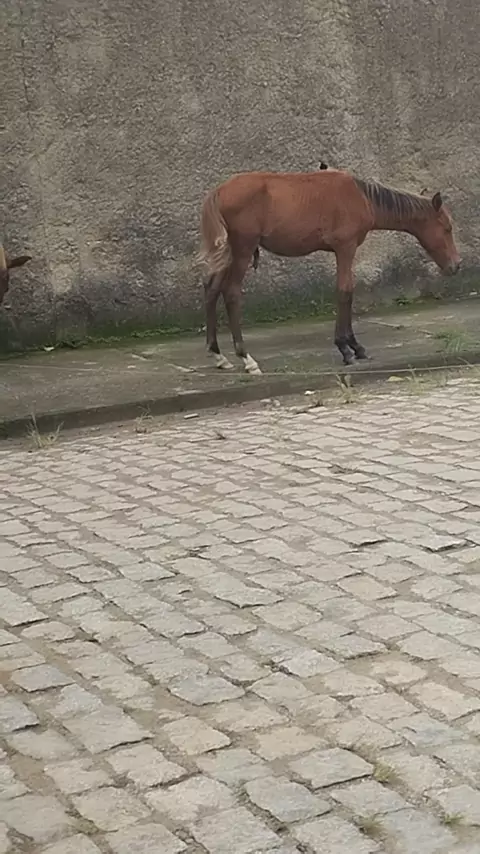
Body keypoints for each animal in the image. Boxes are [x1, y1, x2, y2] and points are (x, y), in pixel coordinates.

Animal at [198, 168, 460, 374]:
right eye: (447, 228)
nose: (455, 265)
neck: (362, 197)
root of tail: (218, 192)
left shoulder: (342, 251)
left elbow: (347, 292)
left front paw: (355, 347)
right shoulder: (346, 248)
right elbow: (345, 291)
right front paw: (346, 348)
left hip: (229, 253)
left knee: (211, 289)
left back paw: (218, 355)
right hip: (242, 250)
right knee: (231, 293)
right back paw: (246, 358)